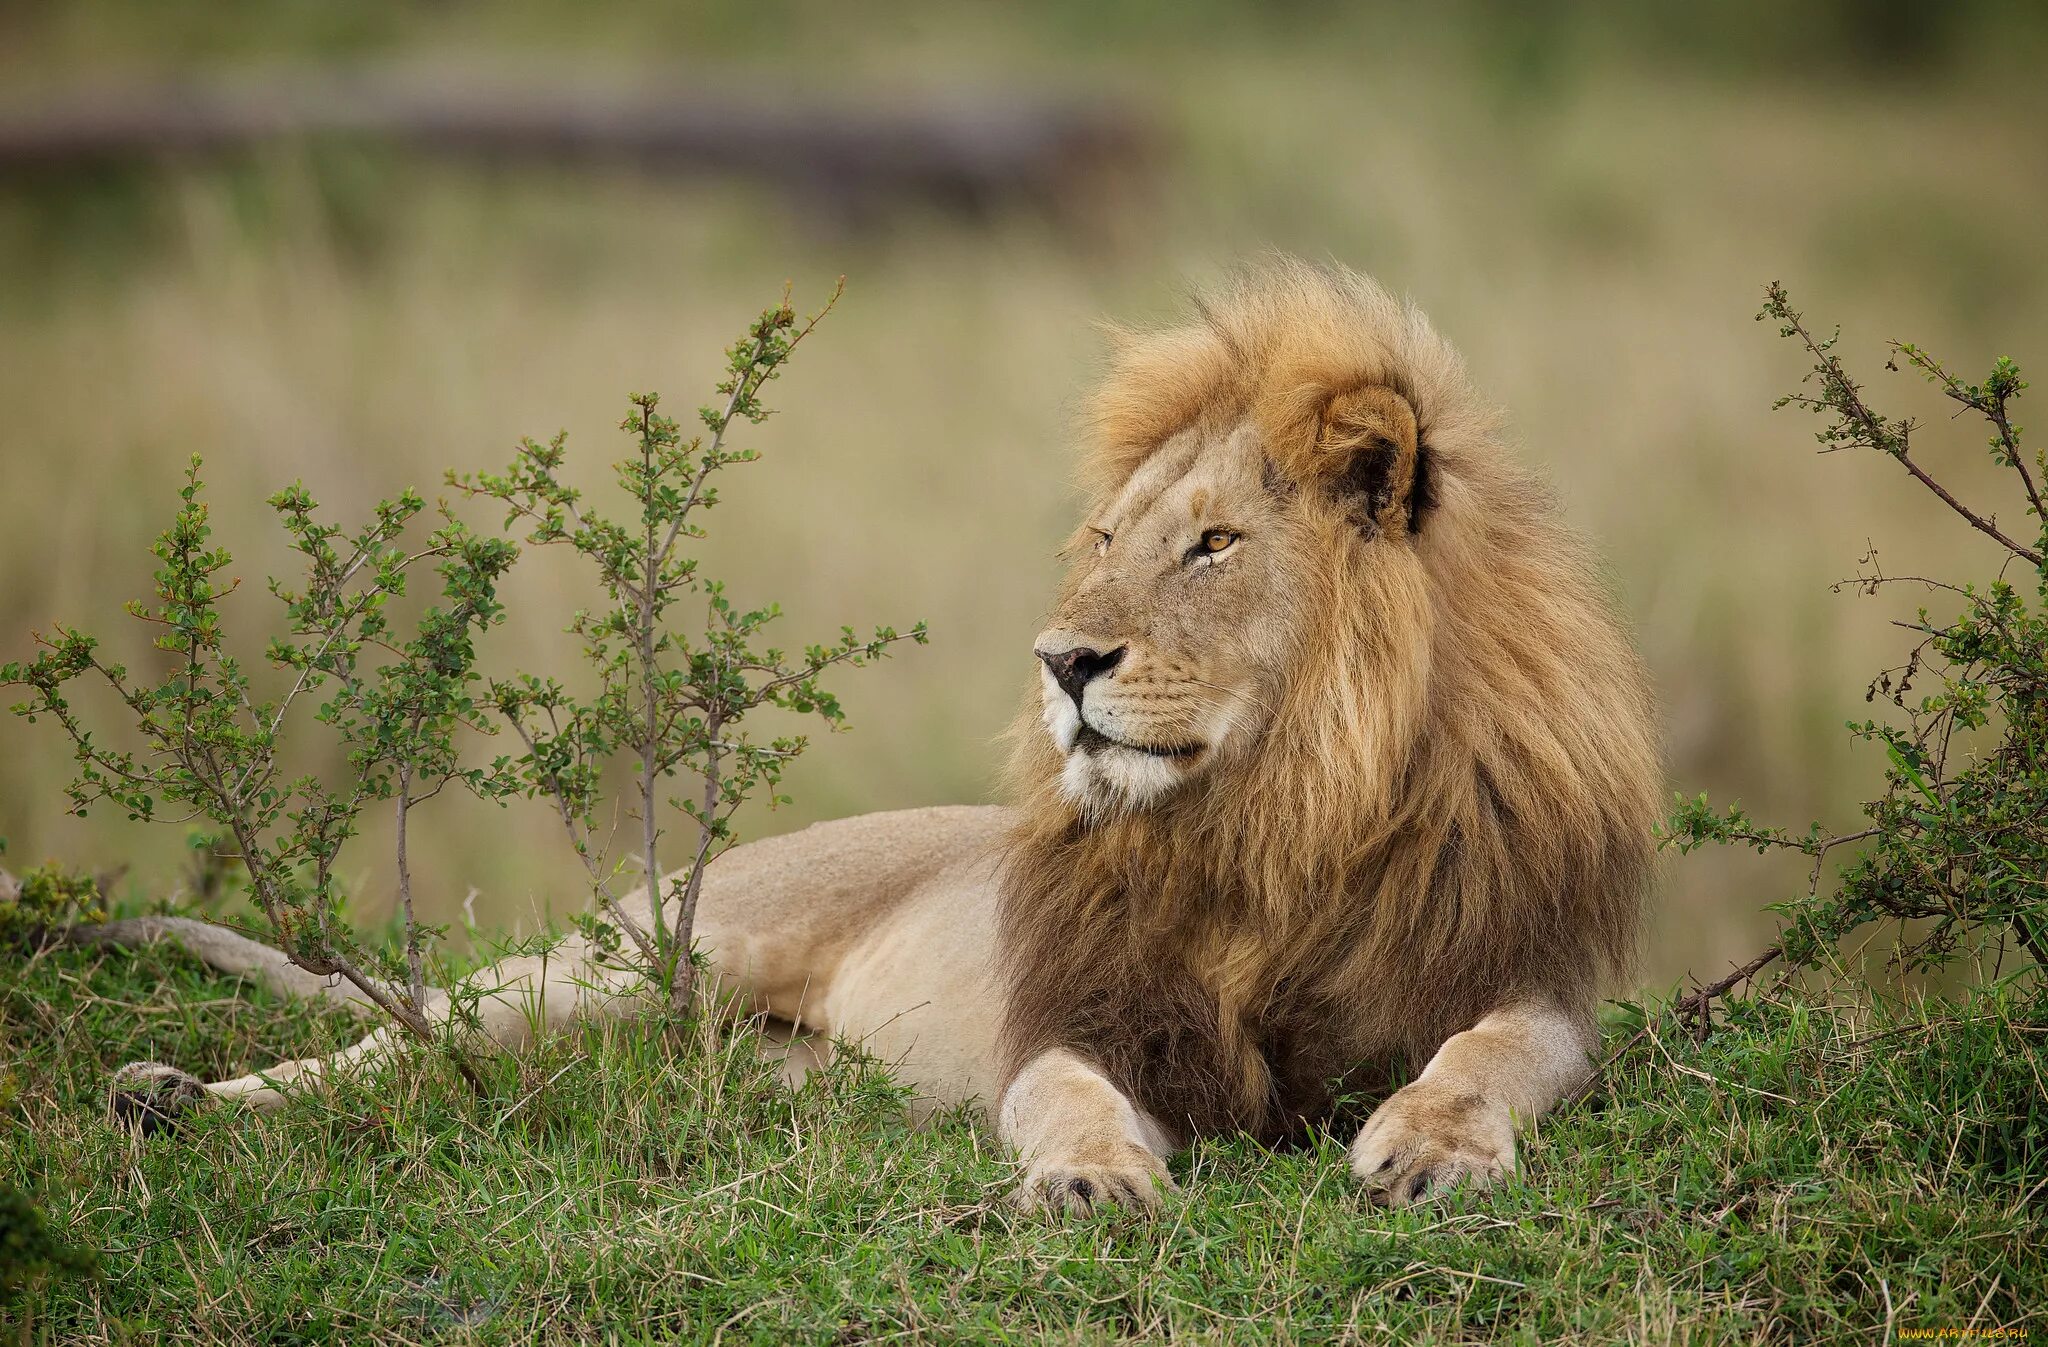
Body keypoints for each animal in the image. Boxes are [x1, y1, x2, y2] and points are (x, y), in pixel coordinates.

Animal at [99, 259, 1662, 1203]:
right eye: (1107, 538)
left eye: (1213, 543)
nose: (1062, 661)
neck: (1279, 812)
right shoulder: (1081, 1014)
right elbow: (1064, 1095)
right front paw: (1093, 1177)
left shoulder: (1522, 975)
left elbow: (1485, 1055)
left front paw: (1428, 1145)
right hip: (634, 961)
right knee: (402, 1041)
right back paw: (169, 1095)